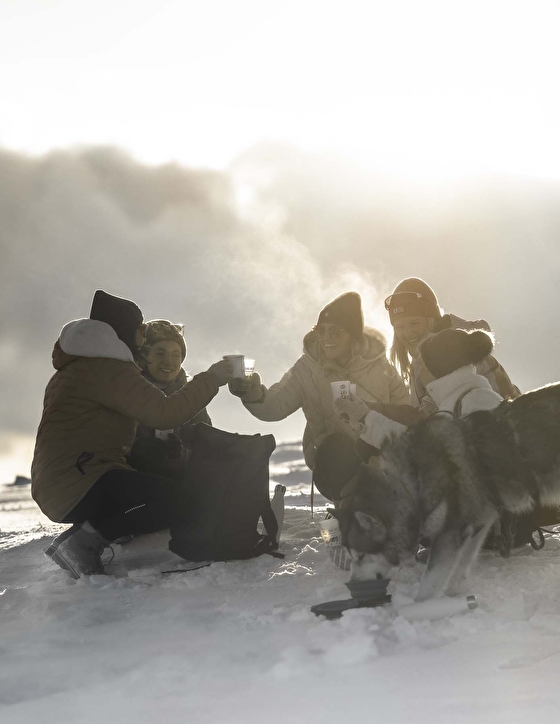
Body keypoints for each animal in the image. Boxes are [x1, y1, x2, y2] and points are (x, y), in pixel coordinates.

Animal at [331, 383, 560, 601]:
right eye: (350, 557)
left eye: (361, 556)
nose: (351, 584)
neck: (409, 486)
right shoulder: (477, 524)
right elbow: (461, 567)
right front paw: (453, 595)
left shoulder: (449, 534)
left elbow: (430, 580)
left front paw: (419, 606)